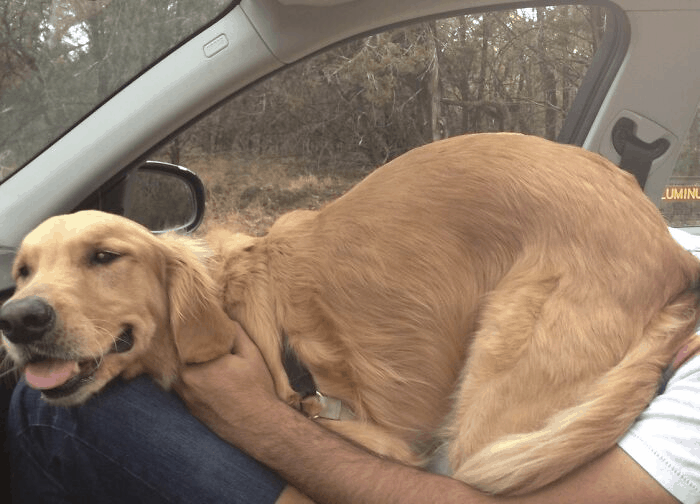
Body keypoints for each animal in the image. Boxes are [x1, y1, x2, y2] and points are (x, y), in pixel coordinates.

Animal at [1, 133, 700, 496]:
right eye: (24, 271)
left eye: (104, 256)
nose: (19, 320)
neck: (228, 300)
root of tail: (670, 246)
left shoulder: (369, 433)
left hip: (492, 410)